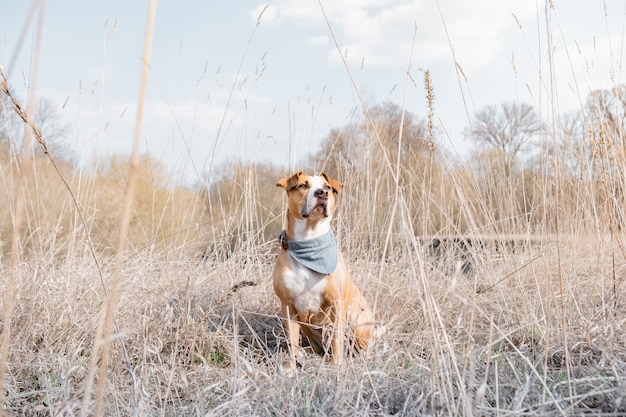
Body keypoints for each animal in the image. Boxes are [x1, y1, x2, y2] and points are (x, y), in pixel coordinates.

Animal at [270, 171, 372, 366]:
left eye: (328, 187)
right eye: (303, 185)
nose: (321, 193)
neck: (309, 240)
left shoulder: (336, 303)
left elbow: (337, 340)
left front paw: (338, 366)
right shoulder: (288, 306)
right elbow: (292, 342)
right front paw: (291, 368)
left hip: (356, 319)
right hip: (307, 327)